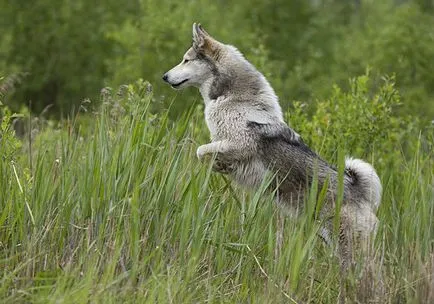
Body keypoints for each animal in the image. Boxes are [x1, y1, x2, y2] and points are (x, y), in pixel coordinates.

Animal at [162, 23, 380, 266]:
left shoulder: (240, 143)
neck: (233, 98)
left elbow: (201, 151)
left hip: (346, 246)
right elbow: (205, 153)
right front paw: (221, 166)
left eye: (186, 60)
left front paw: (220, 165)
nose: (164, 77)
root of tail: (358, 189)